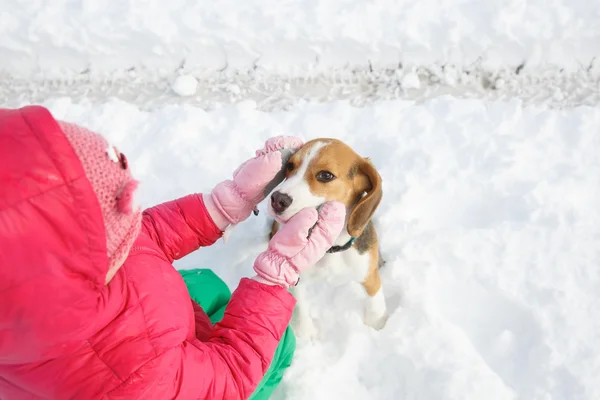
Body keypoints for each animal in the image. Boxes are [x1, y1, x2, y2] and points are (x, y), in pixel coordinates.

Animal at [268, 138, 390, 338]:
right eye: (290, 165)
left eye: (326, 175)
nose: (277, 200)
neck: (330, 248)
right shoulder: (296, 276)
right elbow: (300, 306)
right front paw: (305, 333)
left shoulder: (368, 273)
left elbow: (375, 303)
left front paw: (377, 325)